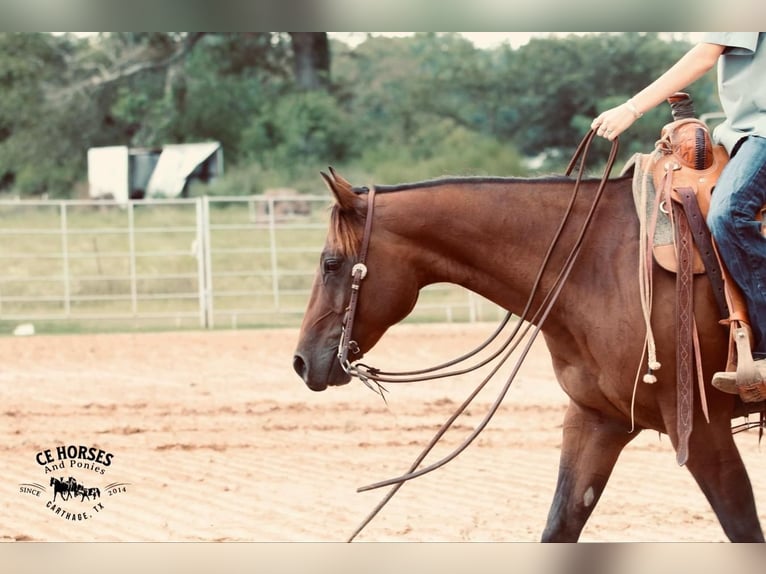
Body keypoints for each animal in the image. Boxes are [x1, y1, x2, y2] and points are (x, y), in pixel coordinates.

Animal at [292, 164, 766, 544]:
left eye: (331, 263)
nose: (301, 361)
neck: (596, 263)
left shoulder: (702, 430)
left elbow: (743, 528)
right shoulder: (597, 420)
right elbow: (560, 526)